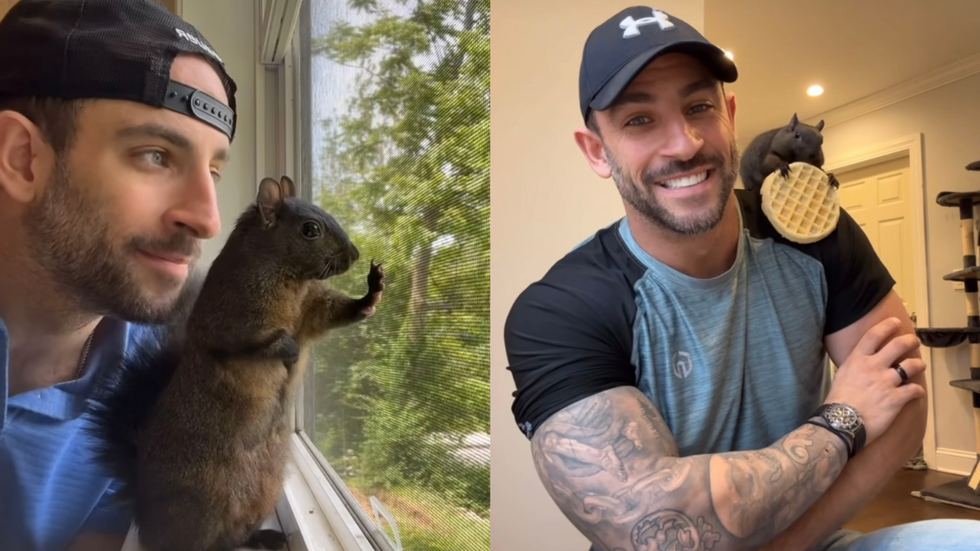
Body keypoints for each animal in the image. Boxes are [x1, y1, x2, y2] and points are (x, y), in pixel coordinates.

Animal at [87, 175, 386, 548]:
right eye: (310, 229)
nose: (355, 254)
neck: (288, 278)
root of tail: (145, 514)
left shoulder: (312, 310)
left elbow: (333, 313)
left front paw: (372, 293)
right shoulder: (230, 322)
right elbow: (249, 345)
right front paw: (286, 349)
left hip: (261, 494)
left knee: (234, 536)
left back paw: (264, 537)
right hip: (202, 505)